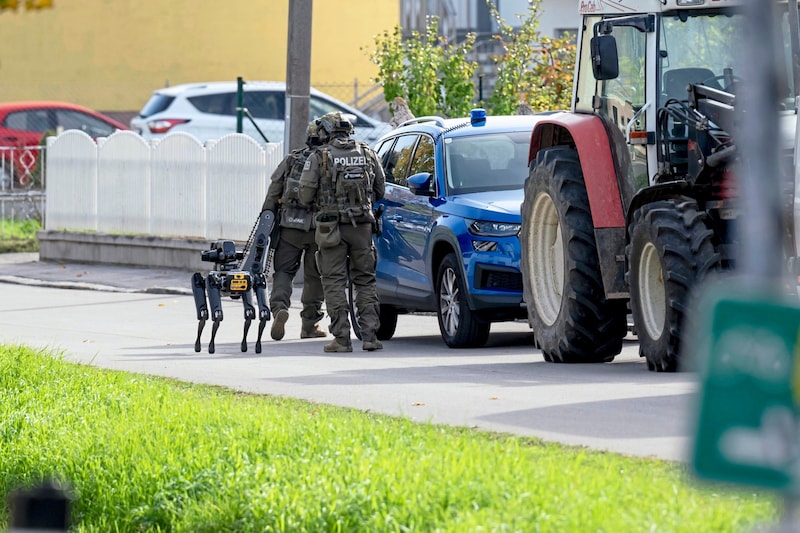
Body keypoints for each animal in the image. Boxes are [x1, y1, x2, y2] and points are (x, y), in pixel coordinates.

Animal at [192, 209, 276, 354]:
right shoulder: (212, 280)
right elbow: (213, 314)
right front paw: (209, 346)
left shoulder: (253, 280)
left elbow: (256, 312)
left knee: (253, 313)